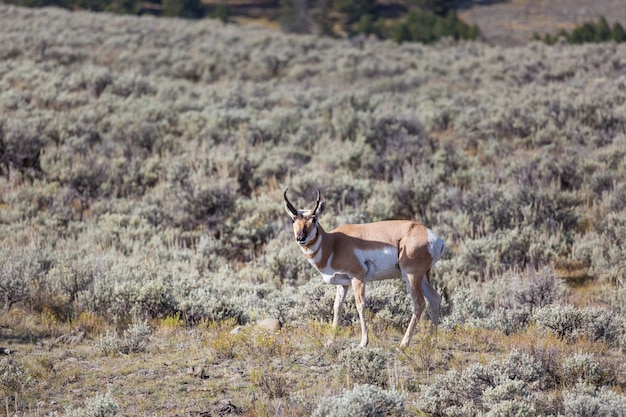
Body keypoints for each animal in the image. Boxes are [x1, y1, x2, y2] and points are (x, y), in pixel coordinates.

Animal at [282, 188, 444, 348]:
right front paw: (330, 341)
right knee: (435, 299)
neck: (333, 244)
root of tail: (432, 236)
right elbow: (337, 307)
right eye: (293, 219)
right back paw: (431, 342)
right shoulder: (343, 283)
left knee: (419, 304)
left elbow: (360, 305)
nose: (300, 238)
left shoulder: (358, 278)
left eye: (314, 219)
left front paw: (363, 342)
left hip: (411, 277)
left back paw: (404, 344)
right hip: (422, 277)